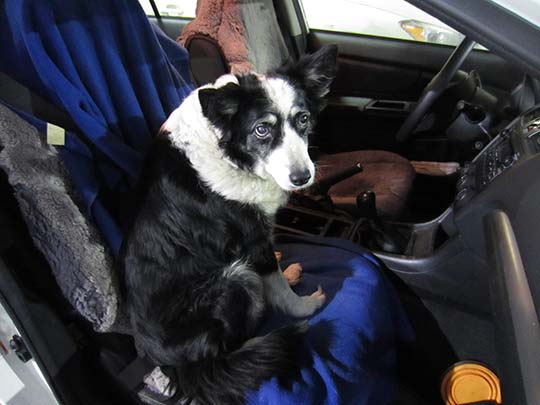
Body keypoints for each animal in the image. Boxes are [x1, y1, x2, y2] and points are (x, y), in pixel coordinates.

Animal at [123, 45, 338, 404]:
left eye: (303, 119)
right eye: (262, 129)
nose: (302, 178)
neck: (229, 150)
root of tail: (177, 365)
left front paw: (286, 269)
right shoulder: (252, 238)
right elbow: (278, 286)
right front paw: (304, 305)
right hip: (234, 279)